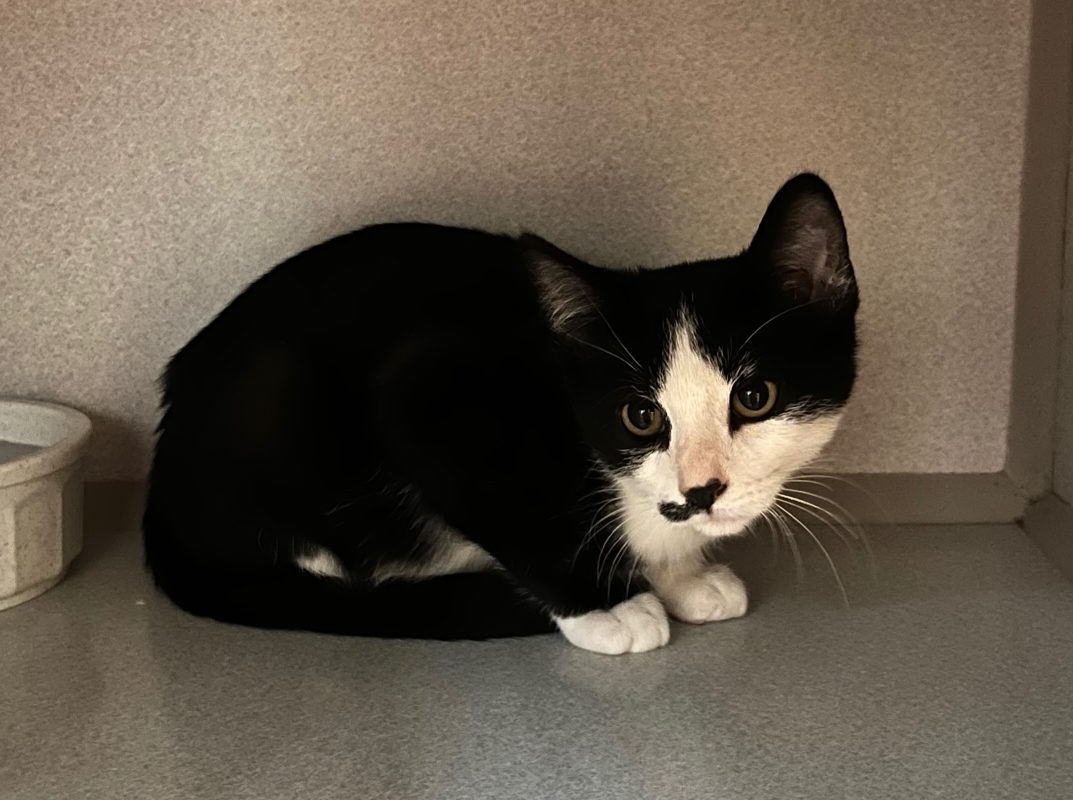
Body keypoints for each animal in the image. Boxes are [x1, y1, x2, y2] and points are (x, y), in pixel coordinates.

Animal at [142, 173, 858, 655]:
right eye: (641, 417)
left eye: (754, 398)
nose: (702, 491)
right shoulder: (424, 393)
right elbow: (519, 519)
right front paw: (611, 605)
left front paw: (683, 576)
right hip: (273, 395)